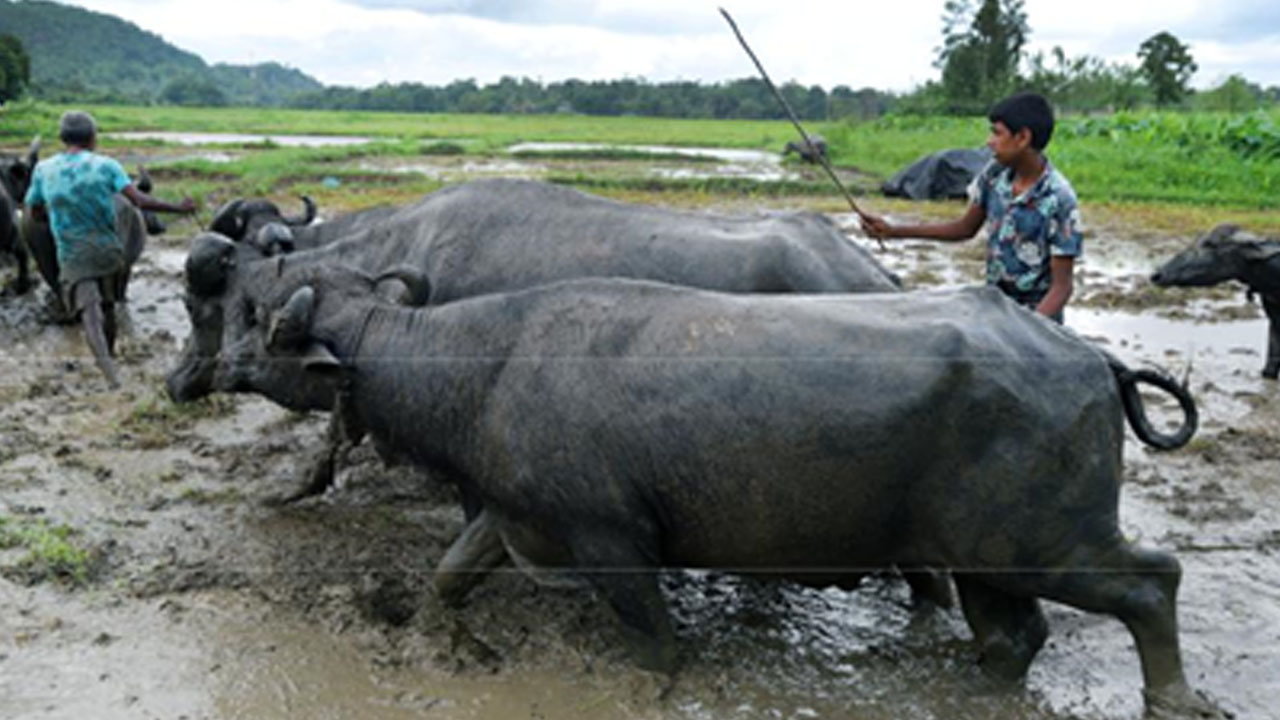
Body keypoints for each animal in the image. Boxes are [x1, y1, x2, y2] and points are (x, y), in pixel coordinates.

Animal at [207, 262, 1208, 712]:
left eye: (260, 320)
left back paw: (1171, 695)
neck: (487, 367)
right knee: (1017, 633)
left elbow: (653, 643)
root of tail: (1092, 357)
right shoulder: (514, 512)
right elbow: (451, 576)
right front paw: (444, 641)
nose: (216, 366)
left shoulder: (612, 543)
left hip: (1045, 543)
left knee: (1151, 581)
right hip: (984, 558)